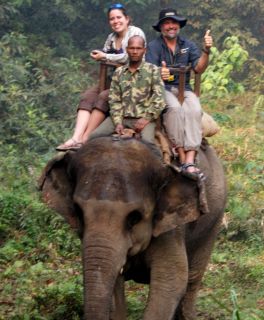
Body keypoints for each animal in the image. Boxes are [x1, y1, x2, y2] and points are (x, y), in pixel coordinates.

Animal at [39, 136, 227, 318]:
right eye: (78, 211)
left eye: (134, 217)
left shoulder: (170, 229)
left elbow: (172, 280)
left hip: (213, 221)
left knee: (193, 278)